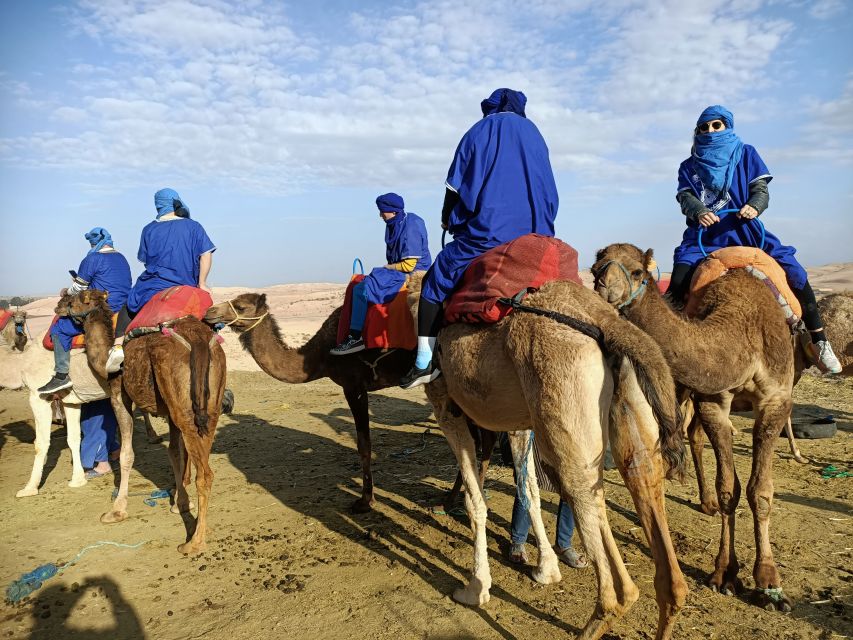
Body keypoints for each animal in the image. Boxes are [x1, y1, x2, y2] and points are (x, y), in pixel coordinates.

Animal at [68, 290, 226, 556]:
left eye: (72, 300)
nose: (58, 308)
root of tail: (198, 338)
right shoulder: (169, 410)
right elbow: (175, 453)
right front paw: (180, 502)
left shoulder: (118, 395)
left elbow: (127, 455)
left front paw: (117, 510)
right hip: (207, 405)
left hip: (184, 408)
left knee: (205, 475)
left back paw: (194, 542)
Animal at [404, 274, 684, 640]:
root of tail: (605, 319)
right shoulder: (517, 423)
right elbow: (529, 491)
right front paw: (546, 568)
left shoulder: (445, 407)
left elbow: (476, 501)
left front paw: (476, 587)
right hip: (623, 407)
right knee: (636, 480)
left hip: (561, 399)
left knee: (582, 494)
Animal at [588, 244, 796, 608]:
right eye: (595, 268)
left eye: (638, 271)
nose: (603, 286)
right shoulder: (712, 399)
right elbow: (729, 488)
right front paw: (725, 573)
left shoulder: (776, 399)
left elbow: (760, 491)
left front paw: (769, 582)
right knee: (691, 436)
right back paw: (703, 499)